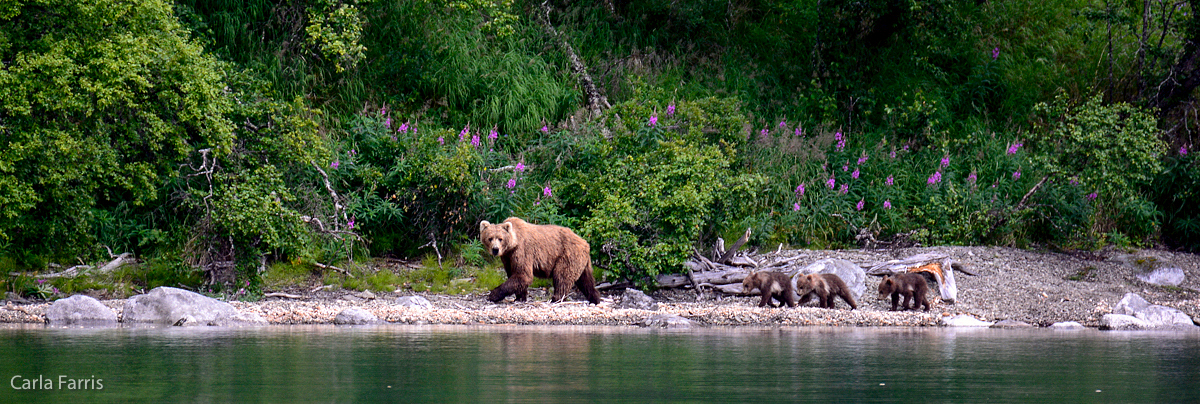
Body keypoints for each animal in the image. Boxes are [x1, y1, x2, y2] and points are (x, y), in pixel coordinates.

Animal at [472, 216, 600, 302]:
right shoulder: (508, 257)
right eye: (490, 238)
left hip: (567, 255)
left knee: (562, 276)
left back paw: (556, 298)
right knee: (586, 280)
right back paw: (595, 298)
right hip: (582, 261)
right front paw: (520, 297)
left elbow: (523, 275)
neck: (512, 244)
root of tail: (585, 243)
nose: (495, 249)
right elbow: (514, 274)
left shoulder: (522, 251)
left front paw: (493, 294)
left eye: (500, 238)